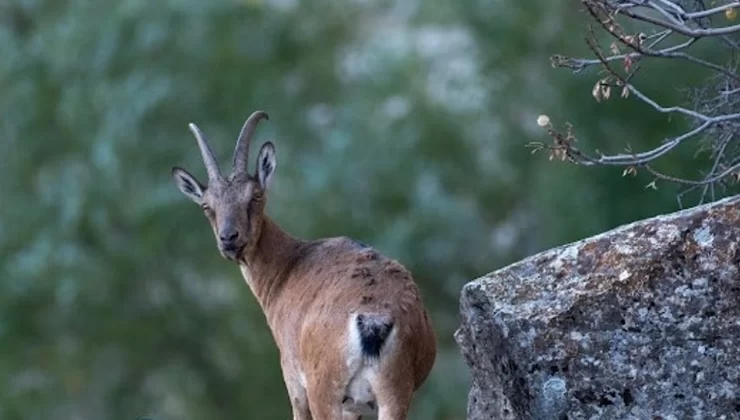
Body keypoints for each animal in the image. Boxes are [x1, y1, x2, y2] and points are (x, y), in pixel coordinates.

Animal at [171, 111, 436, 420]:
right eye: (207, 206)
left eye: (255, 196)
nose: (229, 239)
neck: (287, 265)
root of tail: (373, 320)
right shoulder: (354, 406)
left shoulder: (294, 380)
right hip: (394, 394)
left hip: (325, 390)